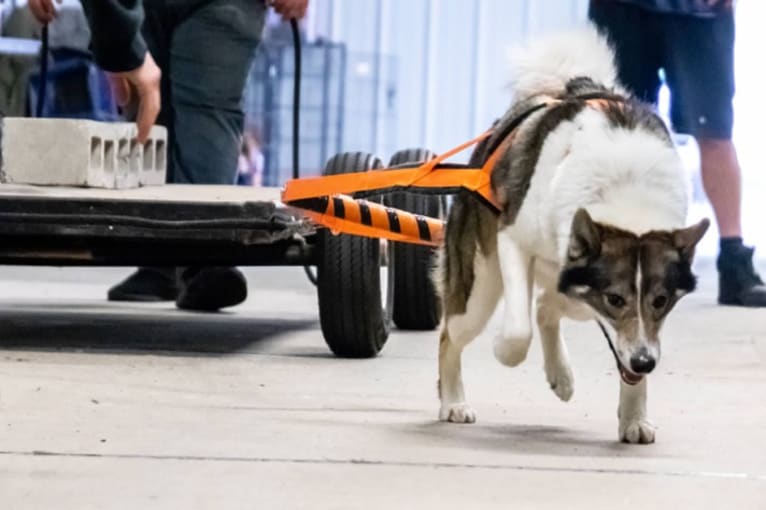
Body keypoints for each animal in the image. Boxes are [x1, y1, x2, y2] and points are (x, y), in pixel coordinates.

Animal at [436, 25, 712, 444]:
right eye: (615, 299)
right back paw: (452, 400)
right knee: (452, 334)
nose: (645, 363)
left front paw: (634, 418)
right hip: (480, 287)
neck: (623, 192)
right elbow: (517, 333)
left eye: (661, 301)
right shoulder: (513, 240)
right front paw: (503, 351)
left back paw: (560, 374)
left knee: (548, 305)